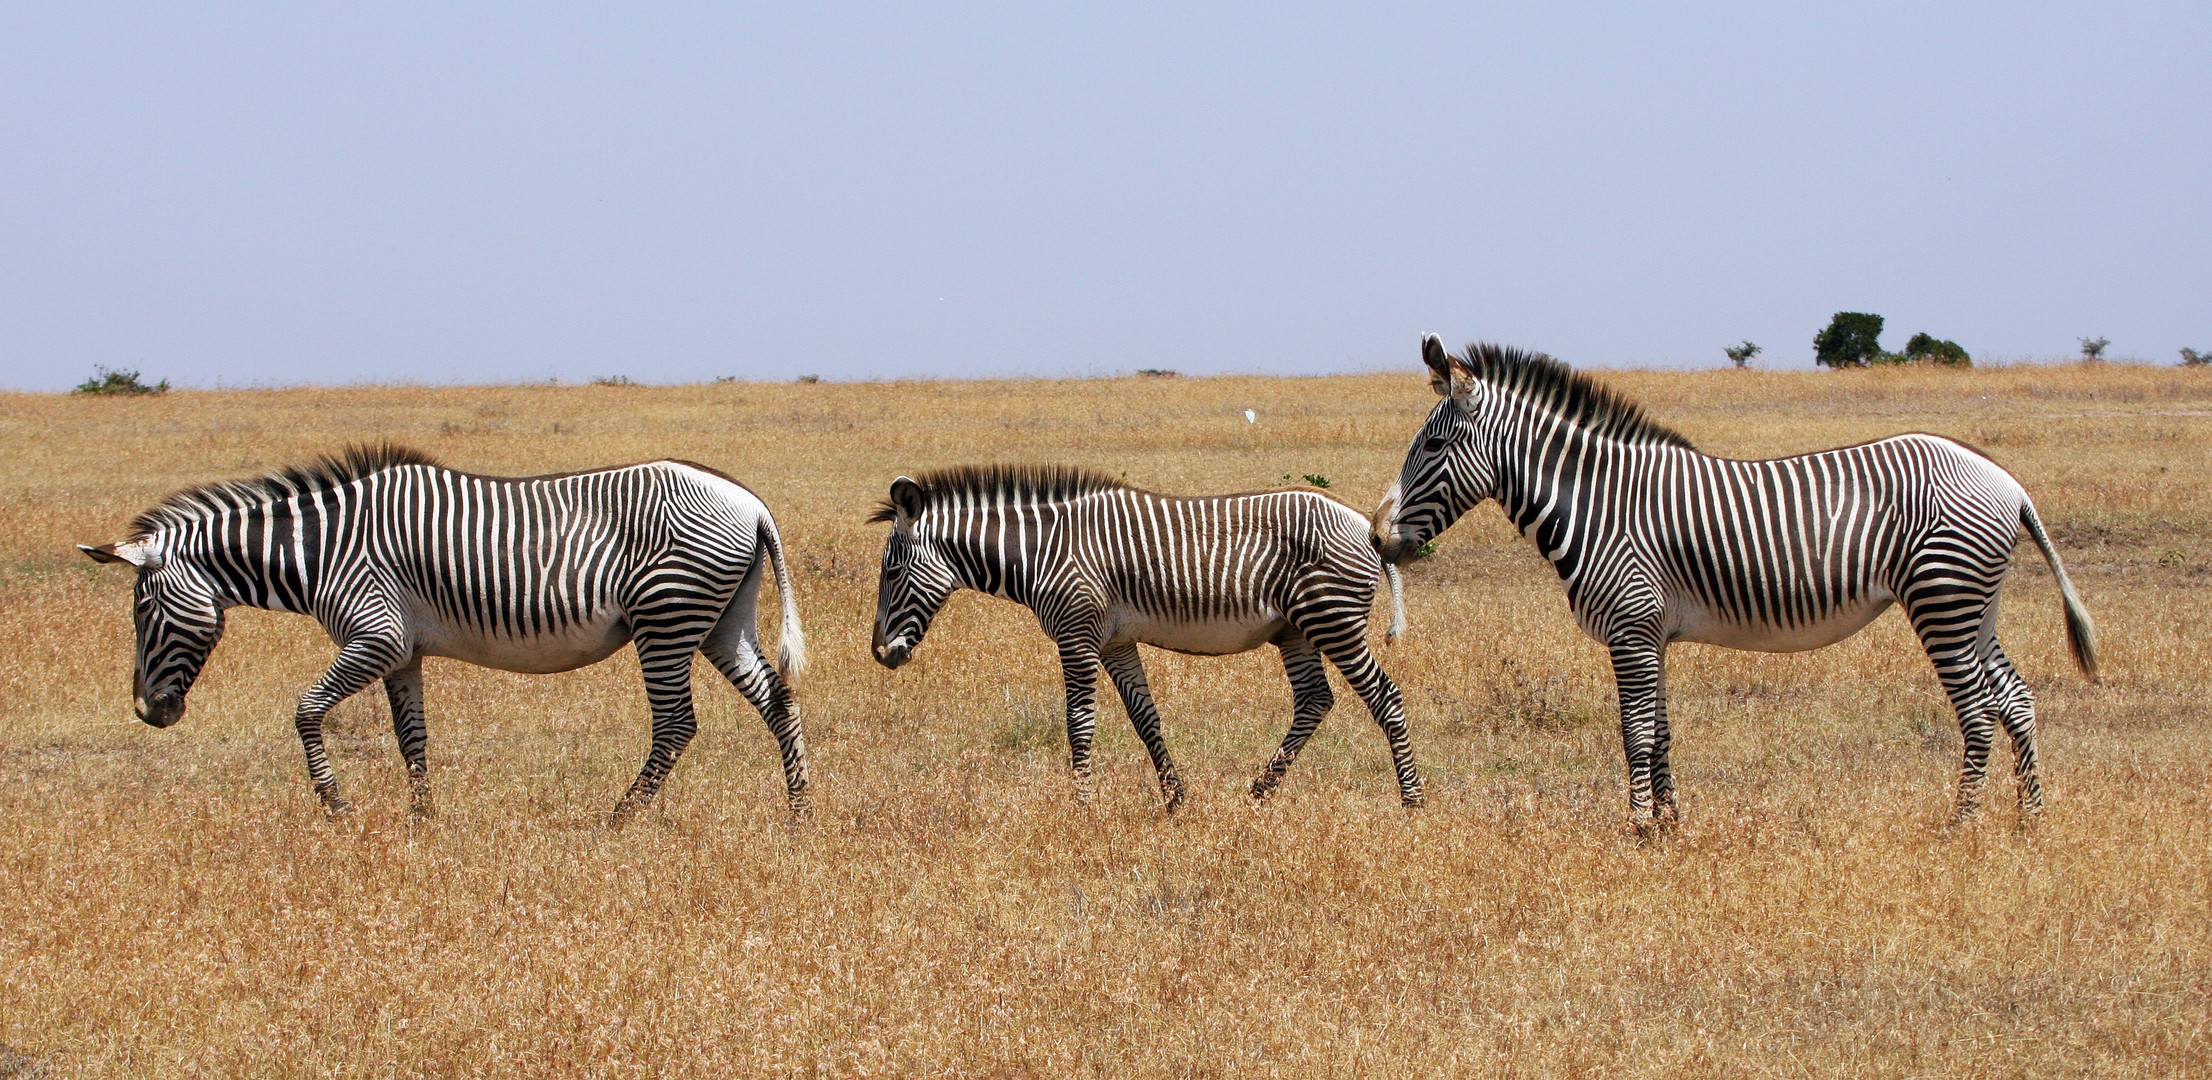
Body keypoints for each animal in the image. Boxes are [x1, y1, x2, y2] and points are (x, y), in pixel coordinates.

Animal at [75, 442, 814, 823]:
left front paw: (335, 806)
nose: (147, 712)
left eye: (144, 612)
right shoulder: (400, 650)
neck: (319, 551)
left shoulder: (371, 635)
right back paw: (799, 812)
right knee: (777, 699)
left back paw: (617, 819)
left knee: (676, 724)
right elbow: (412, 737)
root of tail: (750, 503)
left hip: (665, 619)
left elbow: (306, 709)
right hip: (718, 620)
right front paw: (423, 821)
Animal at [862, 469, 1415, 805]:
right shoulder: (1114, 641)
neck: (1043, 553)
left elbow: (1079, 723)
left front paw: (1082, 806)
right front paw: (1175, 798)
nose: (880, 654)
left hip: (1333, 620)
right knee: (1315, 699)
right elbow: (1144, 718)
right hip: (1296, 630)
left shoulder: (1077, 633)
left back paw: (1412, 802)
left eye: (892, 572)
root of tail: (1365, 526)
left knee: (1386, 698)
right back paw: (1259, 791)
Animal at [1371, 336, 2096, 827]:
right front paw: (1668, 827)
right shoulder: (1653, 633)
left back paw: (1960, 826)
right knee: (2016, 700)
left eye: (1432, 448)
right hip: (1976, 606)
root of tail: (2009, 484)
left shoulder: (1630, 627)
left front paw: (1637, 828)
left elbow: (1634, 731)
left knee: (1976, 712)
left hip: (1942, 598)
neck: (1598, 505)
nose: (1381, 539)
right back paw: (2029, 820)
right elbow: (1660, 732)